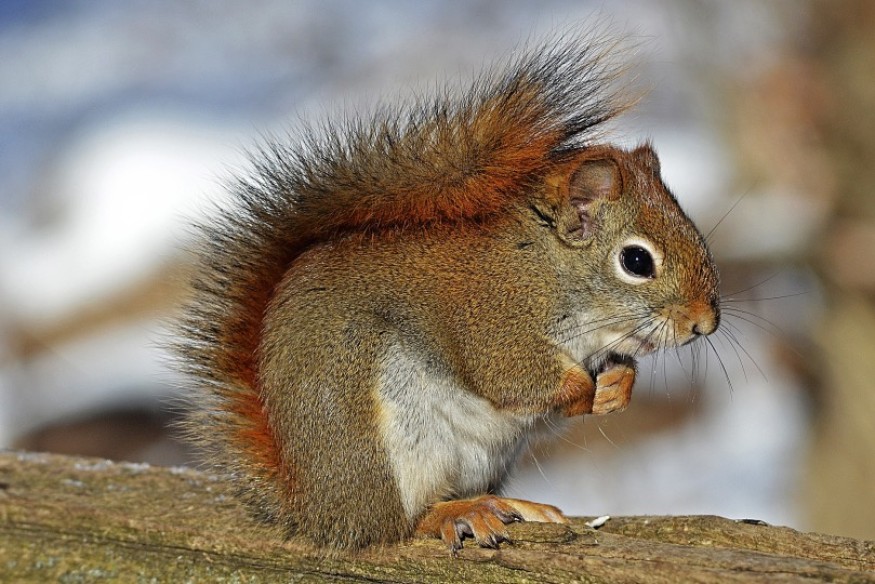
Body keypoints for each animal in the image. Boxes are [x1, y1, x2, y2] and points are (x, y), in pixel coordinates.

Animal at [175, 35, 724, 552]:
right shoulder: (493, 319)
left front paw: (618, 386)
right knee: (400, 522)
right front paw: (585, 390)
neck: (547, 269)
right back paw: (457, 513)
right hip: (386, 443)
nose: (704, 323)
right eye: (637, 261)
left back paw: (513, 505)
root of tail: (315, 510)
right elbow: (513, 378)